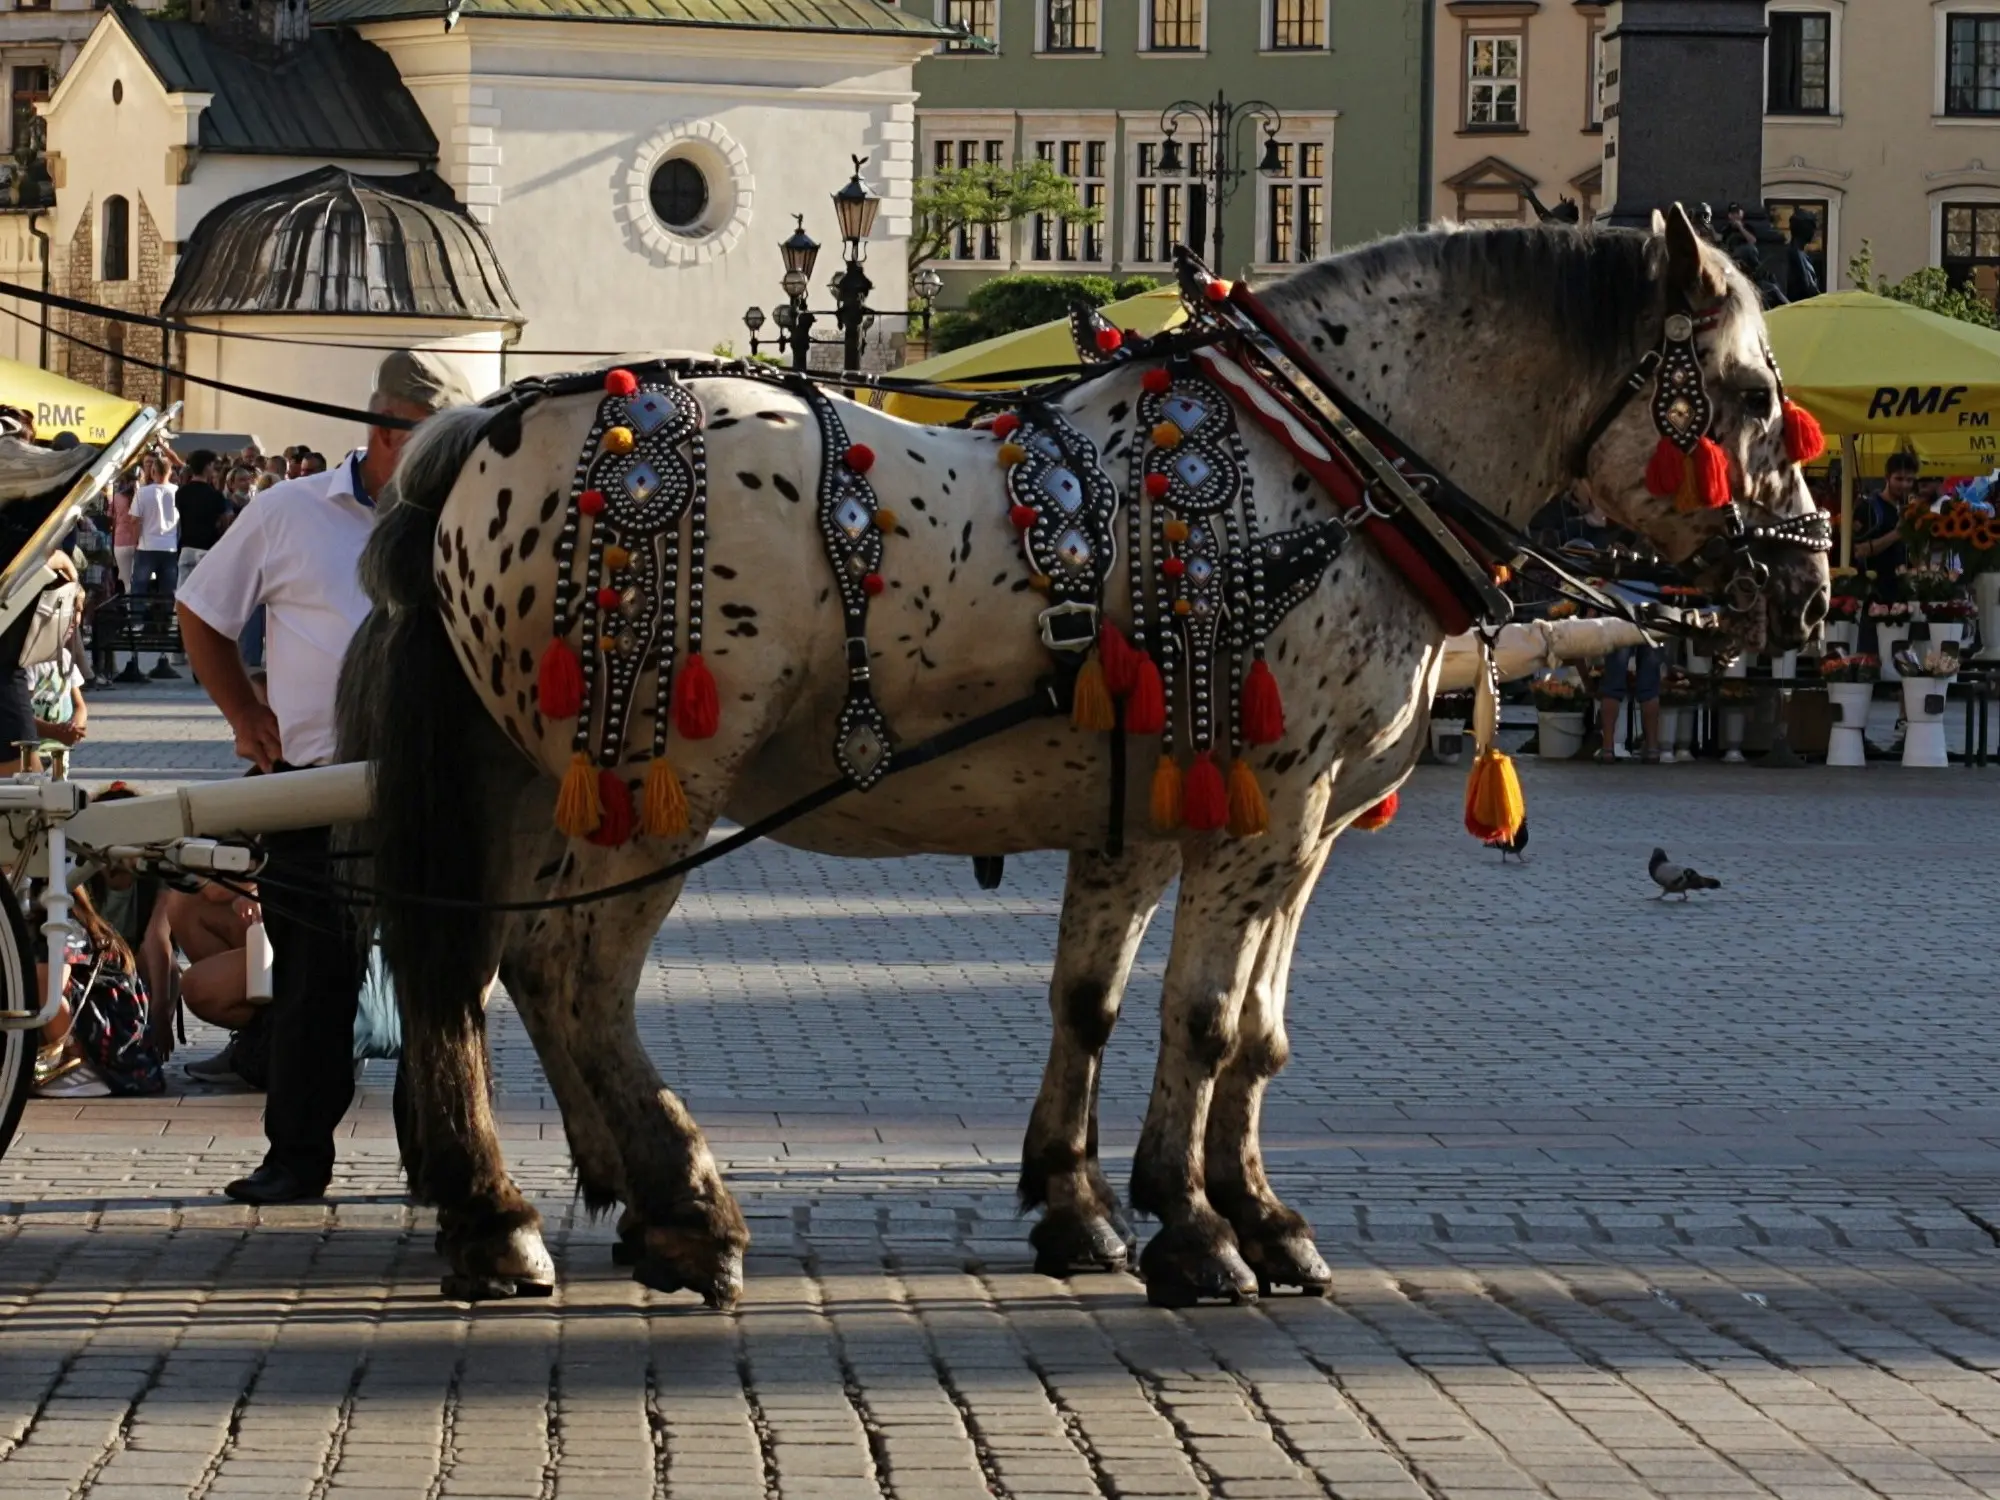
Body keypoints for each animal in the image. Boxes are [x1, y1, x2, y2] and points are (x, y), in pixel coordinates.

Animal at [340, 214, 1832, 1312]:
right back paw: (682, 1209)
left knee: (471, 968)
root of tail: (483, 431)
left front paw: (1113, 1206)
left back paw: (508, 1214)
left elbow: (1130, 1009)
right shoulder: (1271, 812)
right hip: (657, 784)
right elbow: (1209, 1019)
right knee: (569, 973)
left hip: (531, 778)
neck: (1323, 480)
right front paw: (1201, 1230)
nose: (1808, 583)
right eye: (1753, 394)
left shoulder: (1194, 822)